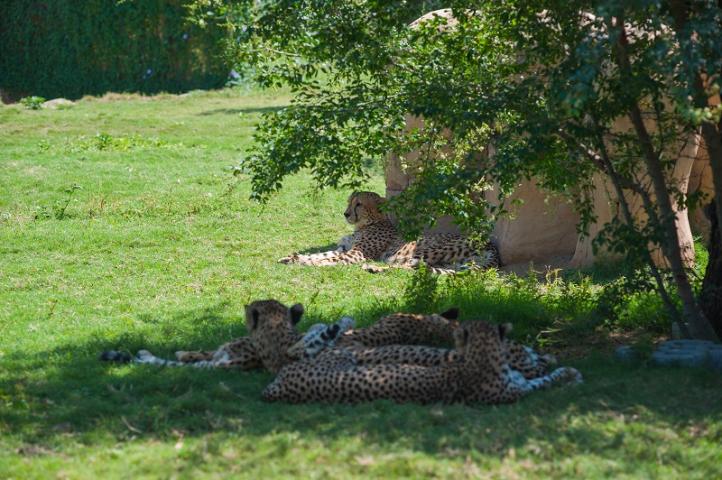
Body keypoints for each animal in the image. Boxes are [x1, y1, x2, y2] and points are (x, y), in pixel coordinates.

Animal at [278, 191, 498, 274]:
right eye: (350, 201)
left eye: (359, 204)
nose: (346, 213)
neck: (366, 224)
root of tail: (490, 244)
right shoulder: (344, 248)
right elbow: (323, 253)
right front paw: (294, 258)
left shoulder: (357, 253)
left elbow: (330, 259)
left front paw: (313, 263)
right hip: (452, 263)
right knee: (423, 269)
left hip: (425, 249)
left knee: (409, 266)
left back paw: (374, 267)